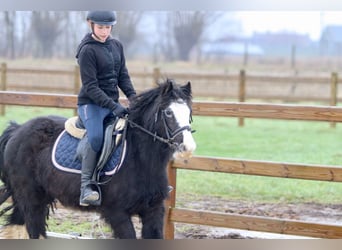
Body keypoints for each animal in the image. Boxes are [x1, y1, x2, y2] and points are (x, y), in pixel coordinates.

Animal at [0, 79, 195, 238]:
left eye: (189, 112)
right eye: (168, 112)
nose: (188, 148)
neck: (140, 159)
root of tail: (17, 130)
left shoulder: (153, 211)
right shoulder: (117, 213)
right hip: (32, 199)